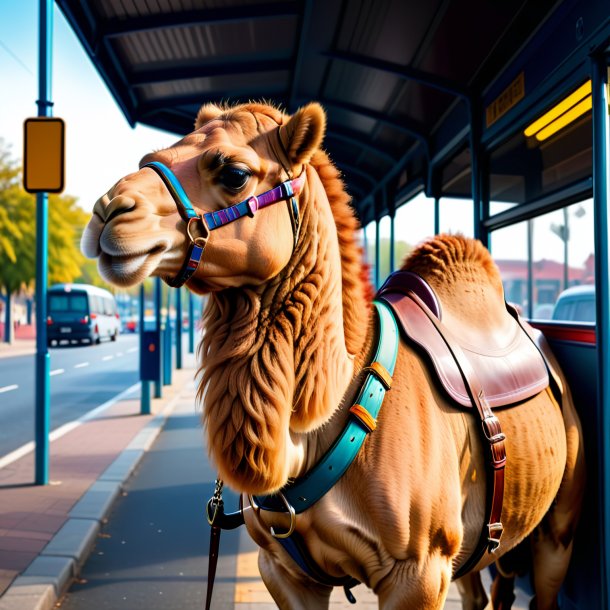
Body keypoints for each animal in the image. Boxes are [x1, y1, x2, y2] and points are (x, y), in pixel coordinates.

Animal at [78, 102, 580, 604]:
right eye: (151, 156)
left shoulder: (419, 572)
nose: (107, 211)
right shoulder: (282, 568)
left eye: (235, 172)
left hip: (557, 531)